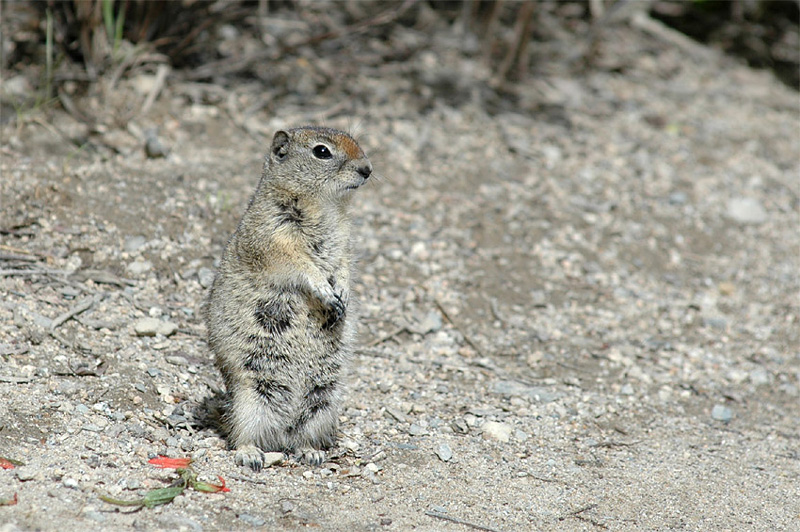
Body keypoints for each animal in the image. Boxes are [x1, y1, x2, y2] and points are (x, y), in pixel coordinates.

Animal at [203, 125, 372, 470]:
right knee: (240, 432)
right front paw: (326, 291)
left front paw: (343, 293)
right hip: (252, 398)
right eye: (322, 151)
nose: (368, 169)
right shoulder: (275, 236)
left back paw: (311, 452)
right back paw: (251, 454)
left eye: (356, 142)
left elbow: (344, 265)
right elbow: (300, 265)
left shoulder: (345, 241)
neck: (324, 205)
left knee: (302, 435)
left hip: (324, 401)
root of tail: (282, 436)